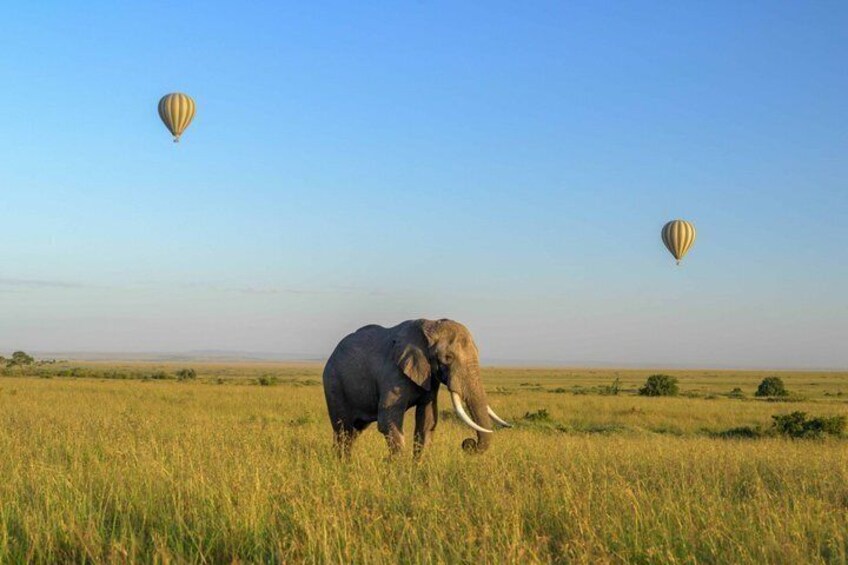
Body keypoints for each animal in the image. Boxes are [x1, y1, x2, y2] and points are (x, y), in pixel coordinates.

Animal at [322, 318, 511, 458]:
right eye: (448, 357)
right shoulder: (393, 372)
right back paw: (342, 465)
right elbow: (388, 421)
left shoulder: (430, 377)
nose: (468, 443)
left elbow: (427, 420)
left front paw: (418, 469)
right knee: (343, 428)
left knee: (354, 431)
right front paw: (398, 472)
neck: (430, 325)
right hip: (333, 383)